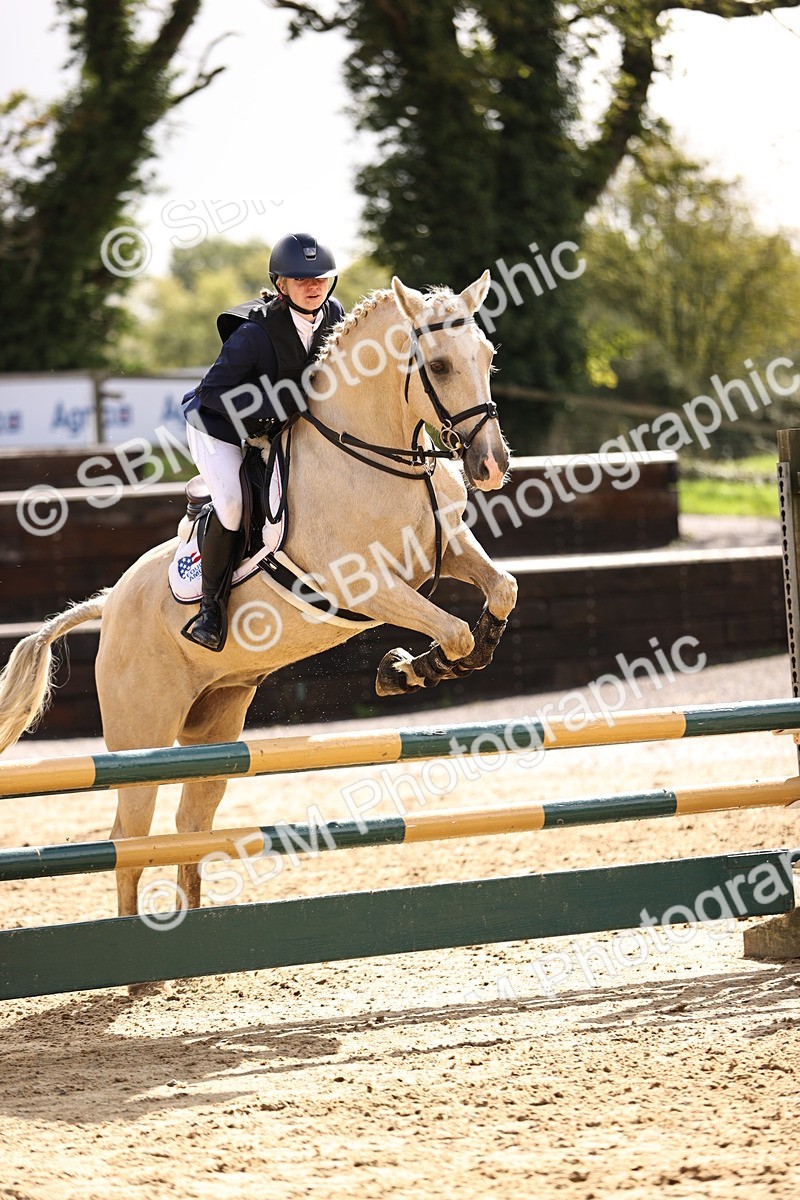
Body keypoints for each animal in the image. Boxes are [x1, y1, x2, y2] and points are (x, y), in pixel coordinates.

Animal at [0, 272, 517, 921]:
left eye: (489, 358)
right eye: (442, 365)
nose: (492, 466)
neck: (376, 455)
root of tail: (110, 604)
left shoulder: (447, 551)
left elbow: (501, 592)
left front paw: (435, 662)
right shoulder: (365, 584)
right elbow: (452, 630)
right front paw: (406, 670)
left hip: (215, 729)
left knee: (190, 824)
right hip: (141, 735)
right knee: (129, 838)